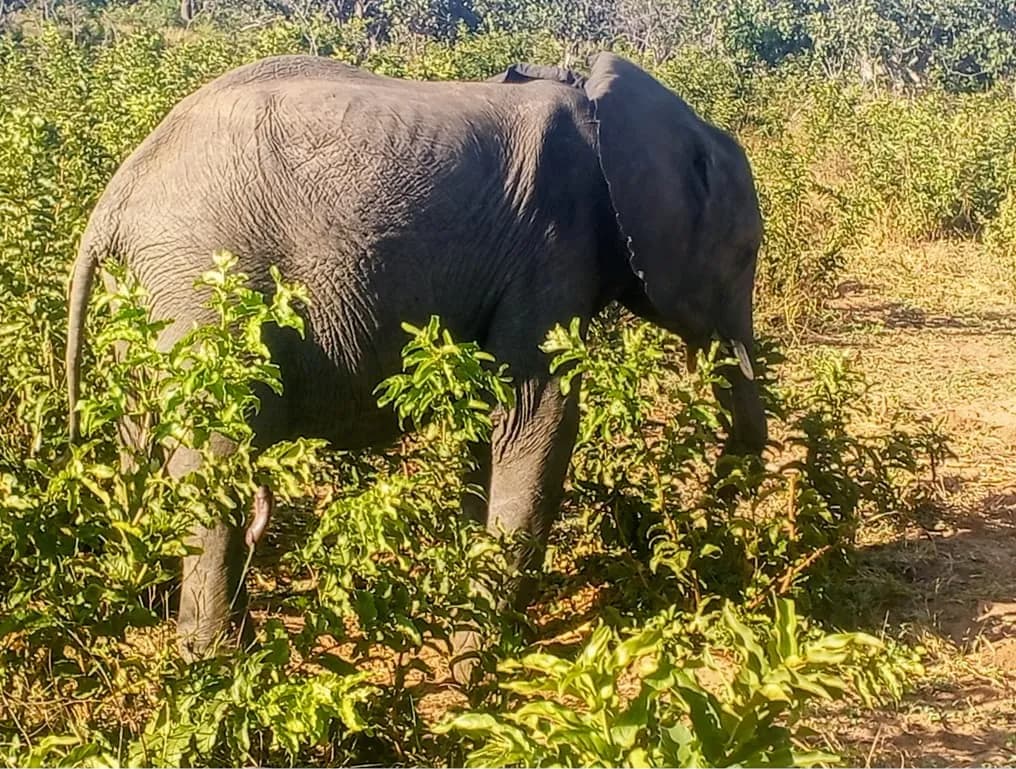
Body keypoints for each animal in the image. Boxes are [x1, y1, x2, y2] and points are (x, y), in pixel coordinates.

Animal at [65, 52, 768, 666]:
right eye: (742, 260)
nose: (722, 495)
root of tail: (112, 204)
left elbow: (496, 419)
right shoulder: (555, 246)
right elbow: (536, 415)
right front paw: (476, 658)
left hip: (149, 302)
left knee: (140, 440)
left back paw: (150, 607)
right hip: (205, 289)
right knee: (219, 459)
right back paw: (224, 662)